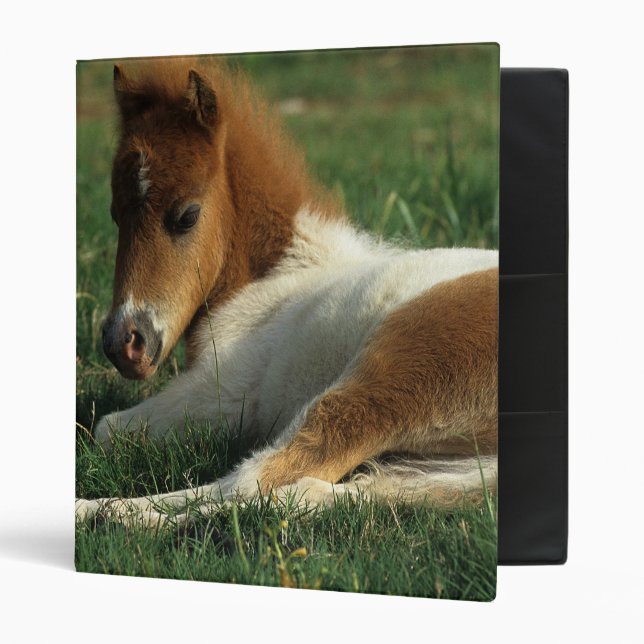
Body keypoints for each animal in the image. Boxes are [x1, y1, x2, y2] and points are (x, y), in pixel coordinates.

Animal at [75, 59, 498, 527]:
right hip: (466, 471)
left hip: (389, 383)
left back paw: (106, 512)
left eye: (186, 216)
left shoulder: (219, 396)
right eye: (115, 214)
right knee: (316, 491)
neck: (279, 274)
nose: (123, 343)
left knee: (258, 478)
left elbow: (107, 429)